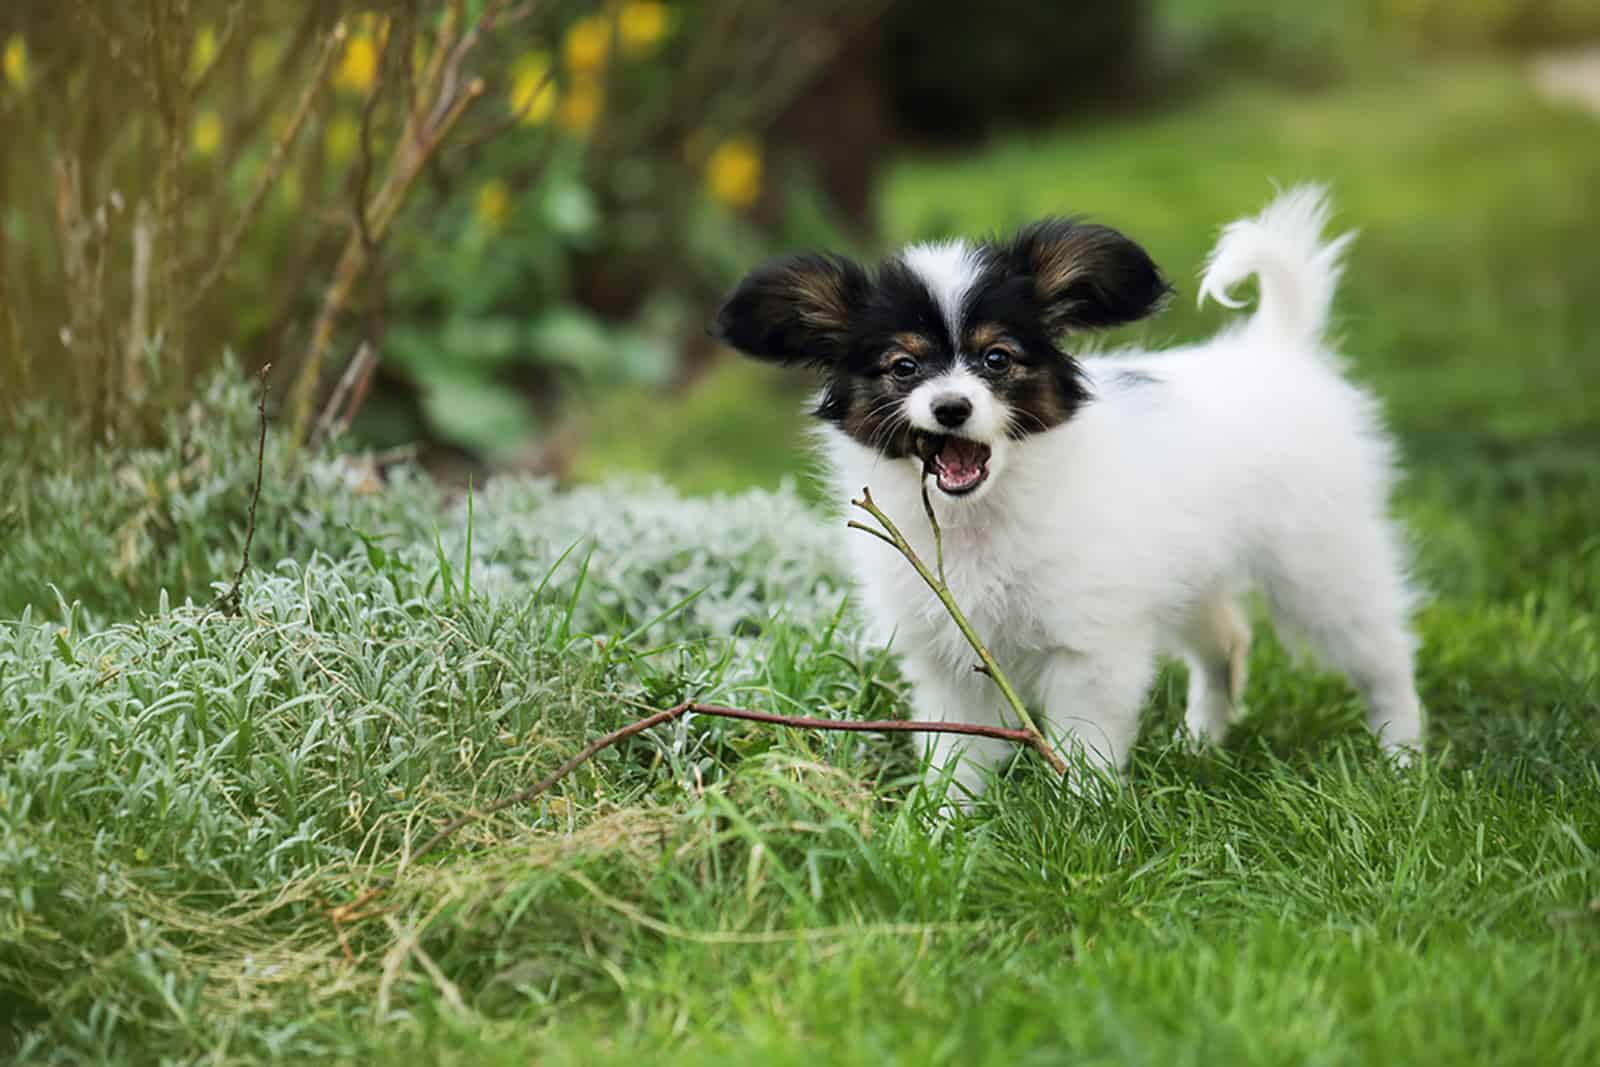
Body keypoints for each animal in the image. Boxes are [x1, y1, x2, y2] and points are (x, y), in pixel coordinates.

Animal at [713, 187, 1427, 799]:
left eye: (996, 359)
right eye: (904, 366)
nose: (951, 408)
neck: (978, 519)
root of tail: (1276, 348)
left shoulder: (1091, 646)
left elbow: (1084, 746)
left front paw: (1084, 817)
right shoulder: (948, 658)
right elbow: (955, 755)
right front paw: (944, 828)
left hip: (1319, 565)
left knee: (1382, 653)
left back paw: (1402, 757)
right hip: (1189, 575)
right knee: (1226, 641)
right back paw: (1200, 743)